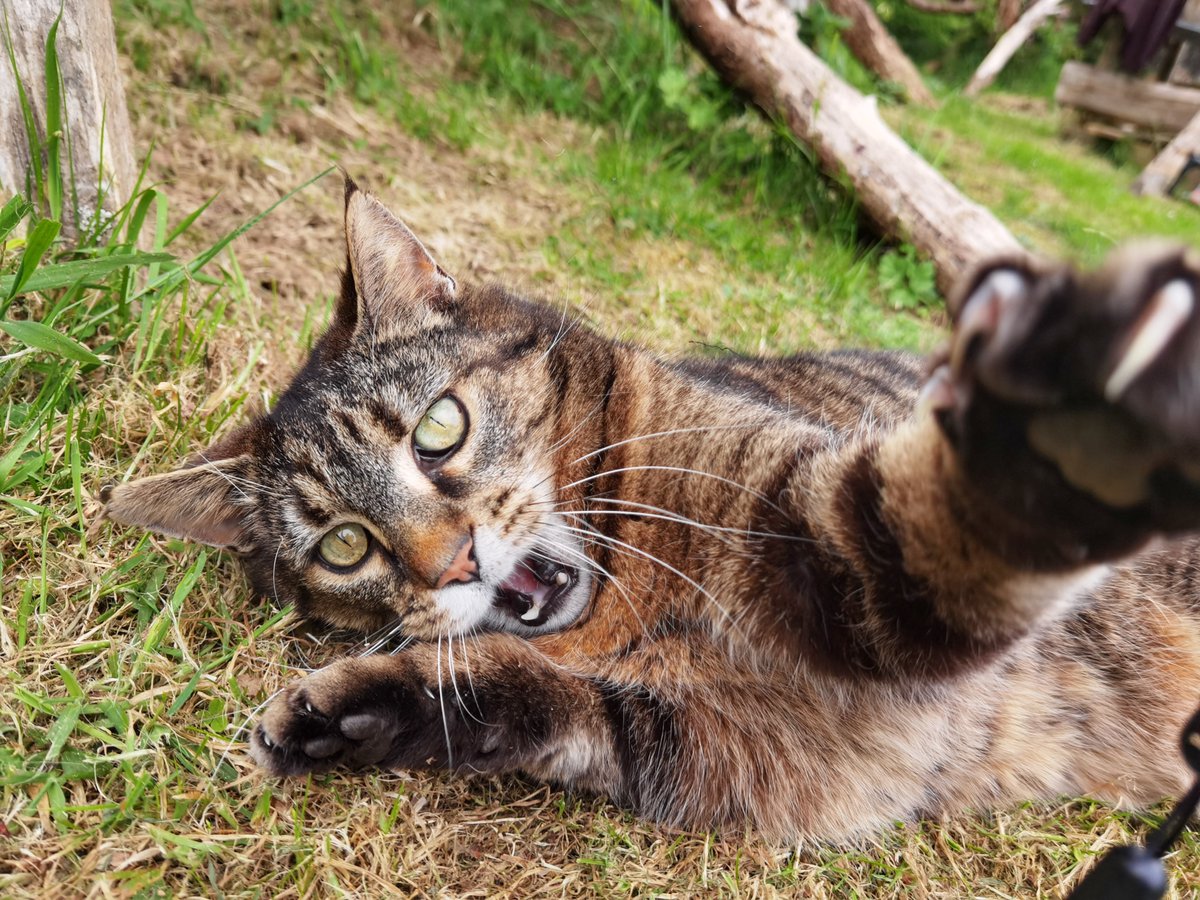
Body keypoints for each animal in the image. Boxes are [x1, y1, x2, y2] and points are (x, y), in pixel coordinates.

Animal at [100, 180, 1200, 844]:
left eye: (439, 429)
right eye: (344, 546)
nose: (454, 562)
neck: (625, 606)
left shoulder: (822, 538)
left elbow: (934, 514)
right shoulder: (690, 742)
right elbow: (515, 693)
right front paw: (352, 716)